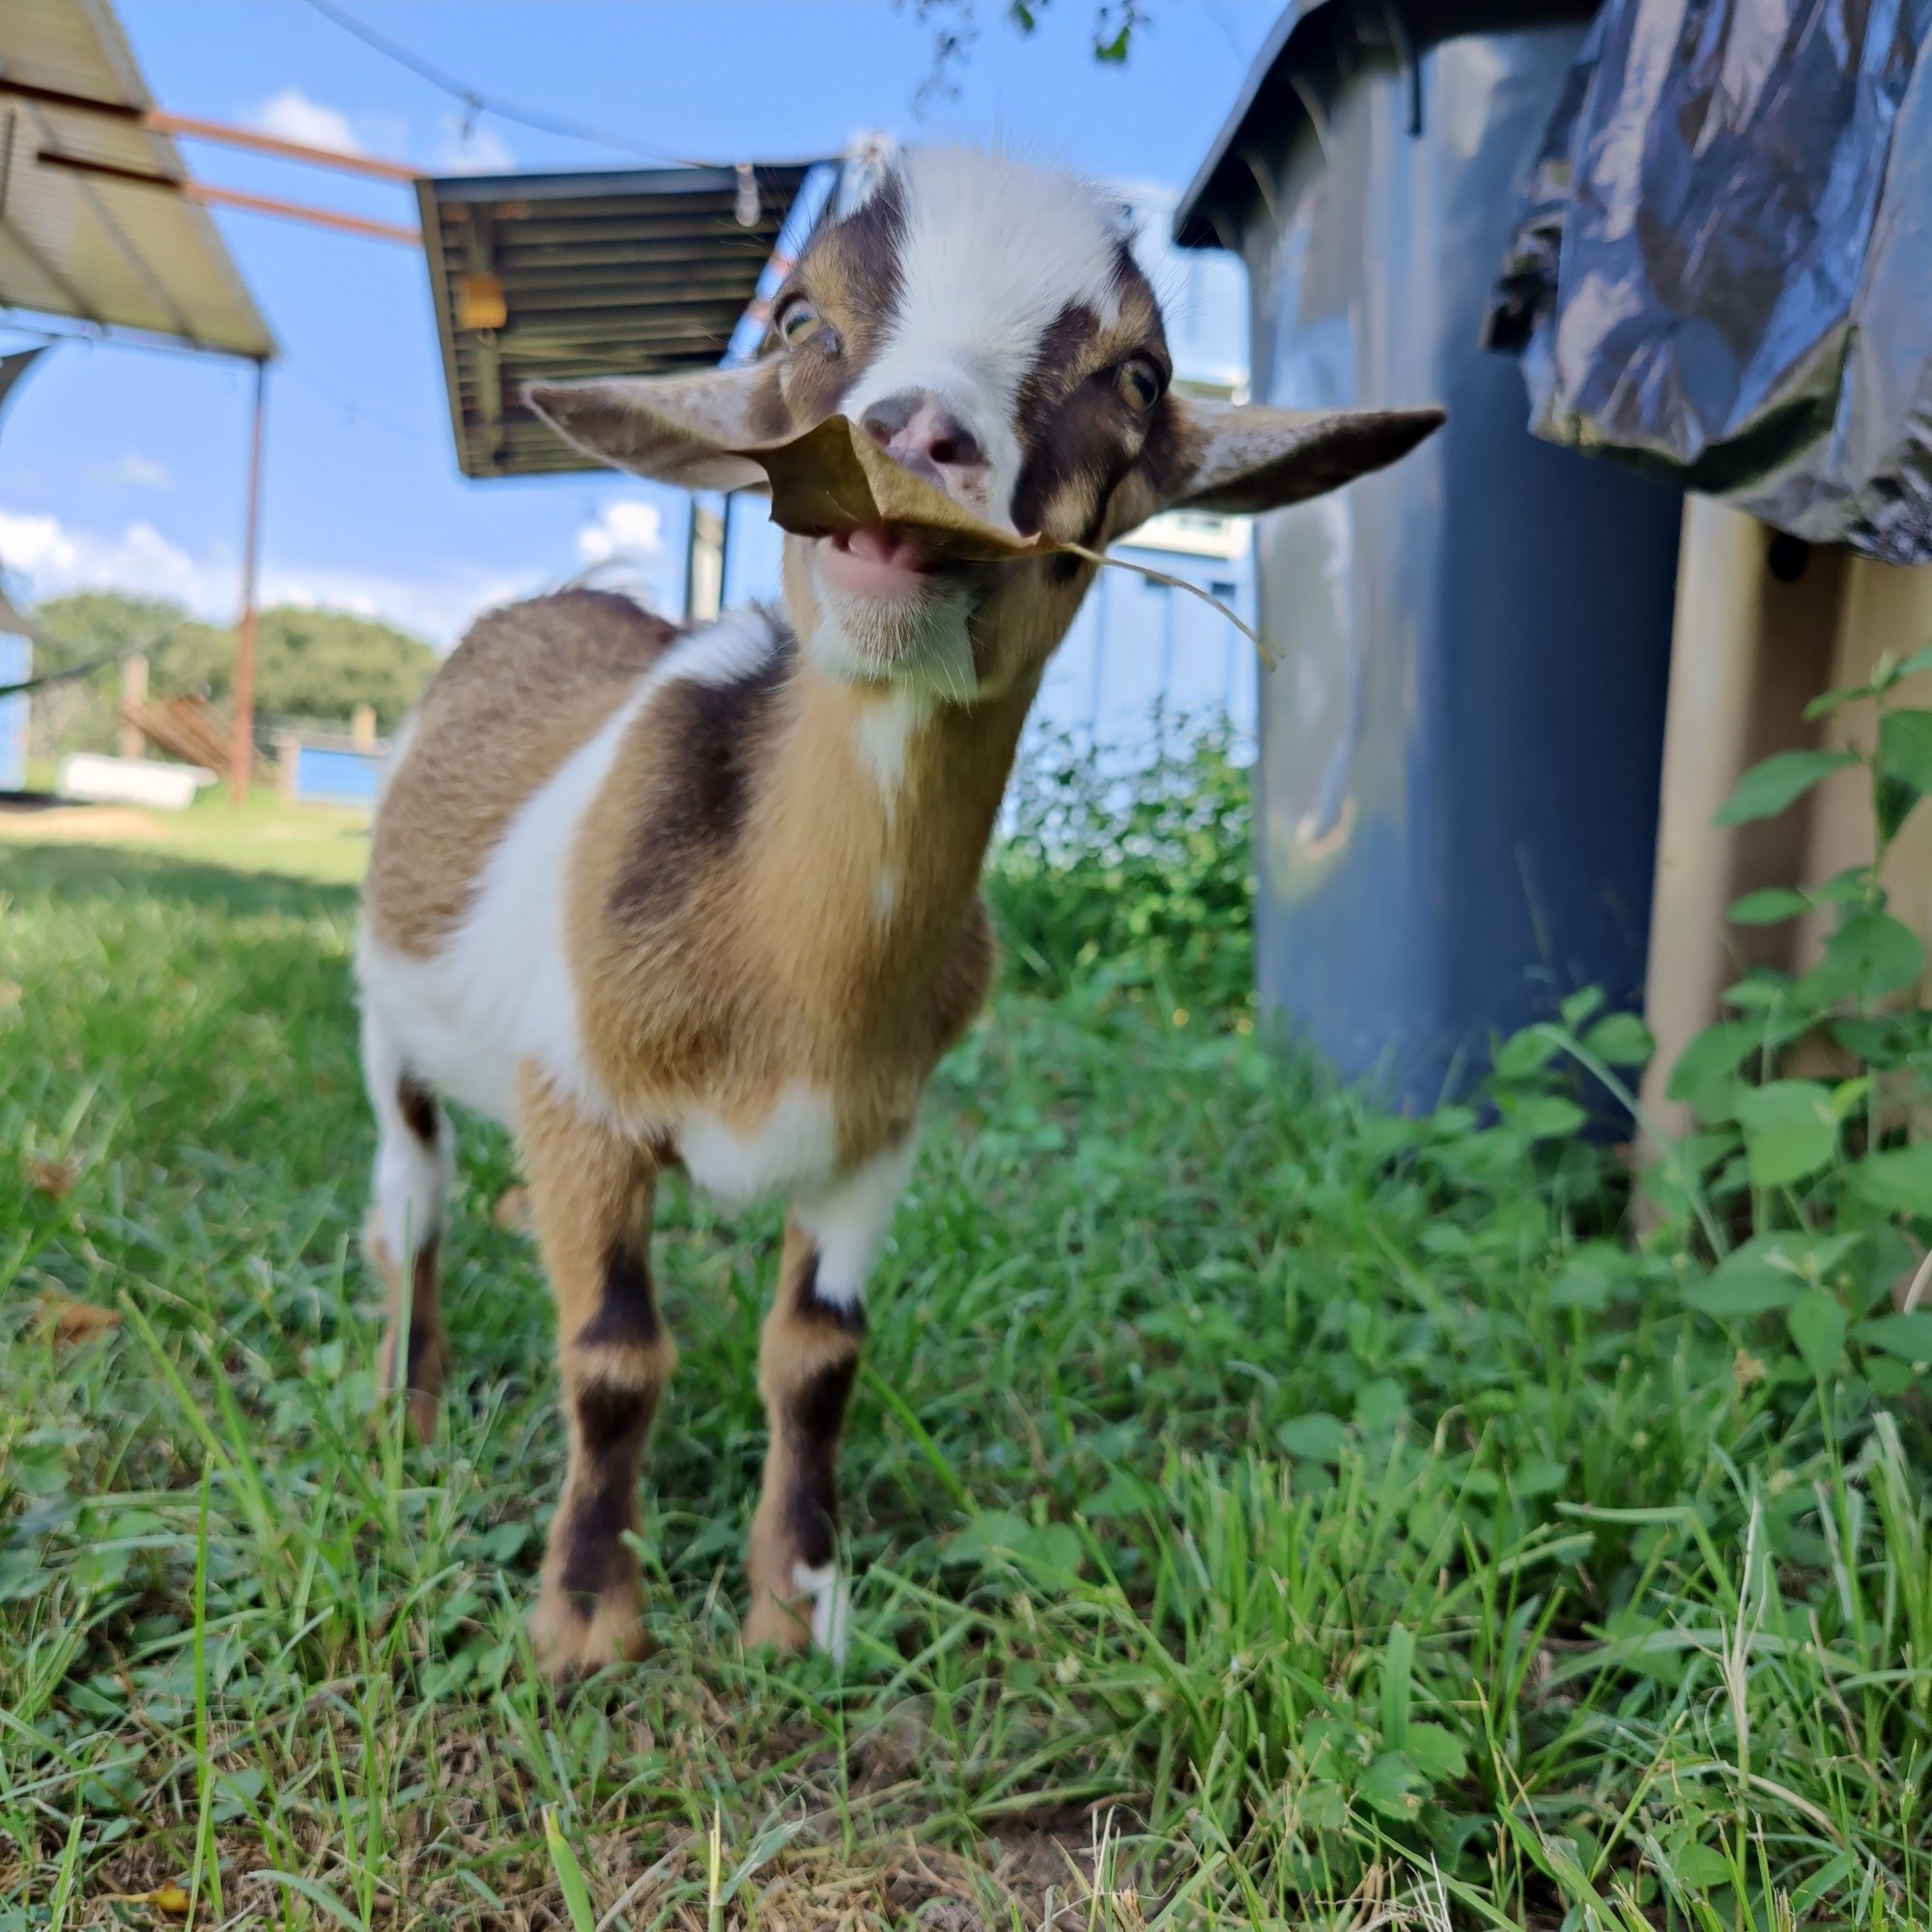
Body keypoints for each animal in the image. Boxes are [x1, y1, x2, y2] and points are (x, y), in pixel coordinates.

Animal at [355, 143, 1445, 1669]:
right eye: (800, 319)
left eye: (1140, 375)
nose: (913, 437)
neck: (787, 981)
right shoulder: (575, 1098)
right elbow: (615, 1354)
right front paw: (581, 1618)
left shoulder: (876, 1136)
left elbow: (816, 1356)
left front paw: (800, 1602)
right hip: (386, 1017)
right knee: (413, 1197)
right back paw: (410, 1402)